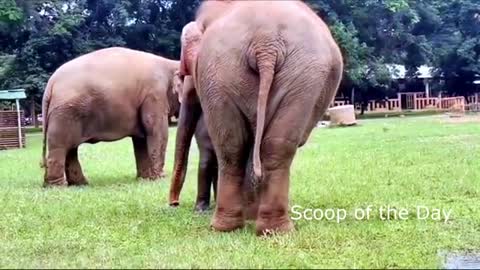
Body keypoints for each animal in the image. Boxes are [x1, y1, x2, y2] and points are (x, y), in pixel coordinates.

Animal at [39, 46, 180, 187]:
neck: (170, 63)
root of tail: (51, 83)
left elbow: (141, 139)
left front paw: (145, 179)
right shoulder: (155, 95)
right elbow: (157, 132)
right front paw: (161, 179)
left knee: (71, 149)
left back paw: (79, 184)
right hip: (65, 113)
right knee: (60, 147)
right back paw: (58, 186)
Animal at [178, 0, 344, 236]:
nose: (173, 204)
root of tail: (266, 44)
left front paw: (250, 213)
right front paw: (250, 213)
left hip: (280, 74)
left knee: (244, 146)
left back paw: (250, 227)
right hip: (233, 72)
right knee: (252, 146)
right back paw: (260, 228)